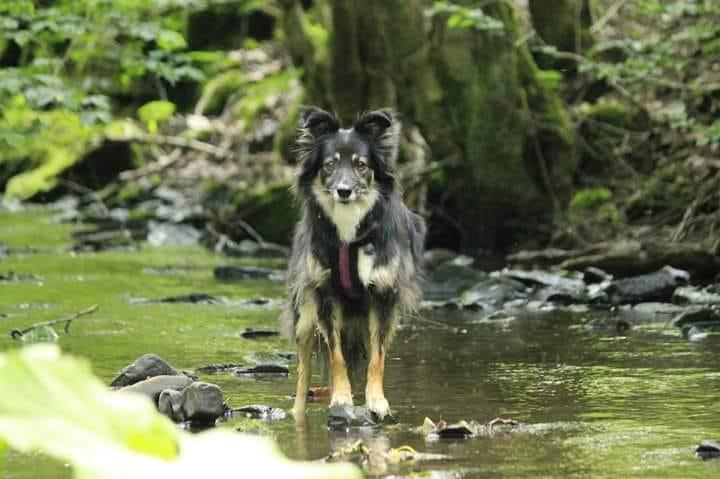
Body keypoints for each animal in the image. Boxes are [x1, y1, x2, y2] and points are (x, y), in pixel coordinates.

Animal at [284, 108, 424, 420]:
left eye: (361, 165)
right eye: (329, 165)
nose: (344, 191)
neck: (349, 232)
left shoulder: (383, 296)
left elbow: (377, 358)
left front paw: (376, 400)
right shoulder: (324, 296)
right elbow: (336, 357)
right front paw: (341, 398)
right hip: (304, 318)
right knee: (302, 374)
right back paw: (297, 413)